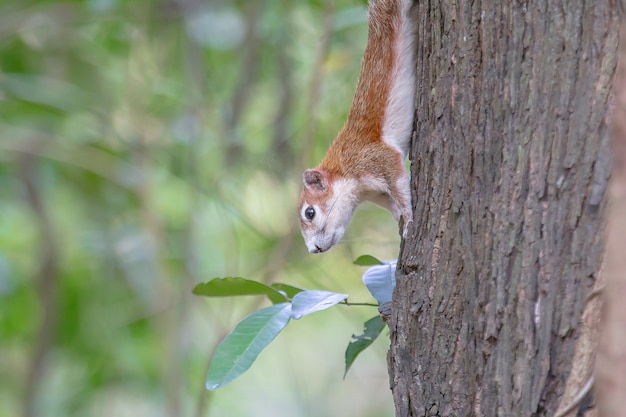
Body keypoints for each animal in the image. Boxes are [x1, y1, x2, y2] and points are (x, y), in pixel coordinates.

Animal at [296, 0, 414, 252]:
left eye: (310, 212)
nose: (313, 249)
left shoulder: (374, 158)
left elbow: (399, 184)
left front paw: (409, 218)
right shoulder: (376, 193)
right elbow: (391, 202)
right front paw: (399, 219)